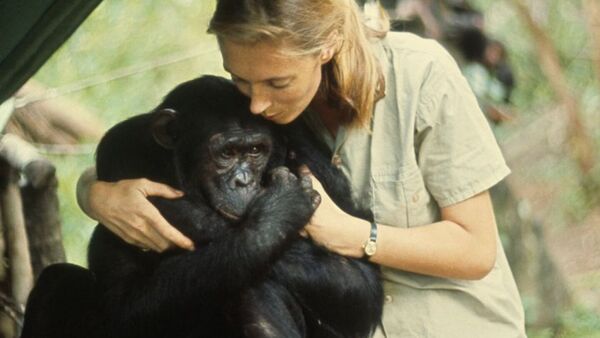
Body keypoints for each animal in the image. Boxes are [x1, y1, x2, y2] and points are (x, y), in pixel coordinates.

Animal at [22, 74, 384, 338]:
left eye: (256, 151)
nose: (244, 181)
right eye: (227, 153)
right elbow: (124, 301)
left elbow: (358, 283)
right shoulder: (121, 149)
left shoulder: (314, 161)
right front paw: (279, 212)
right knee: (57, 281)